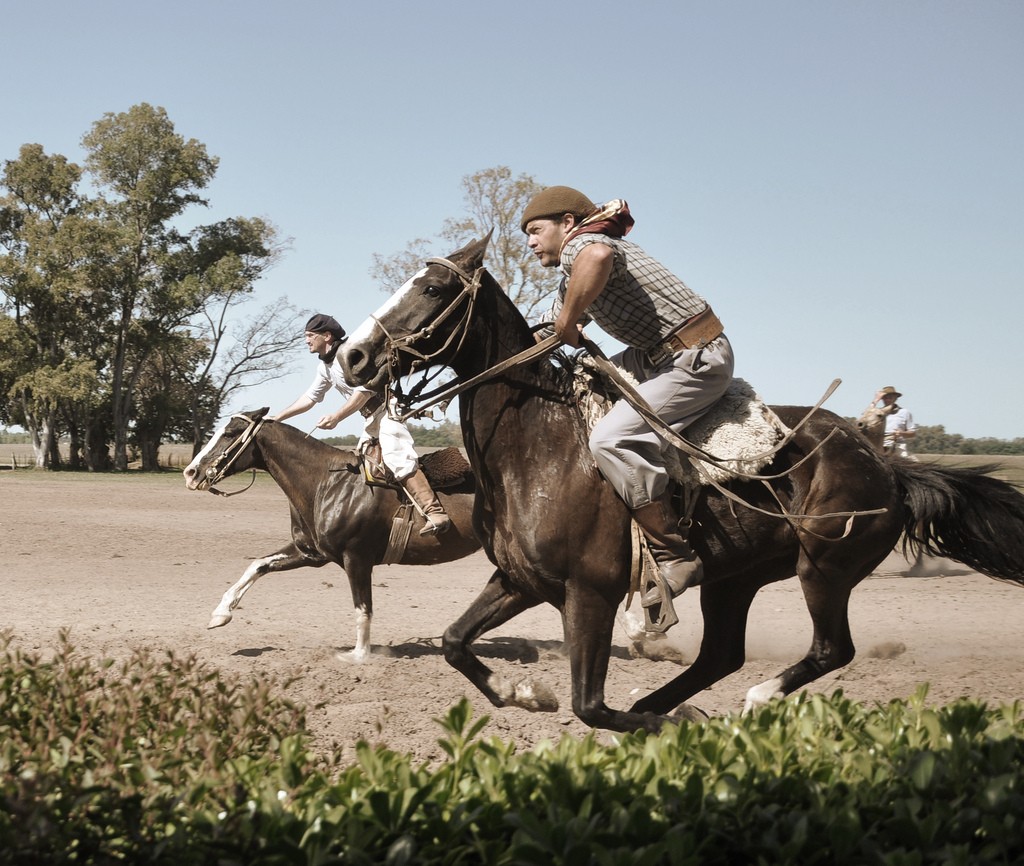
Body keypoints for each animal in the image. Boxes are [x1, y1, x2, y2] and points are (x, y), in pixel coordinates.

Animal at [183, 409, 479, 659]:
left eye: (229, 433)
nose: (191, 472)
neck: (327, 483)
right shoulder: (310, 553)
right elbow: (258, 565)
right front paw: (220, 614)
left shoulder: (356, 558)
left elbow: (363, 608)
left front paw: (359, 655)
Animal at [342, 237, 1024, 732]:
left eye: (431, 288)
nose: (352, 356)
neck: (538, 446)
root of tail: (887, 466)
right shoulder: (518, 579)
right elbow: (456, 642)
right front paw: (526, 692)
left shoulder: (589, 593)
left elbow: (591, 706)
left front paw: (657, 720)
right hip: (736, 579)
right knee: (722, 654)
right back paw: (680, 702)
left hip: (824, 569)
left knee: (831, 650)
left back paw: (751, 700)